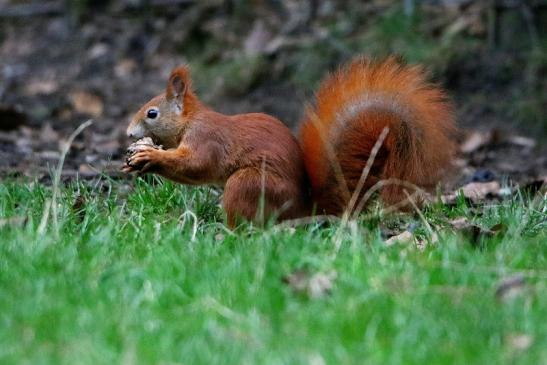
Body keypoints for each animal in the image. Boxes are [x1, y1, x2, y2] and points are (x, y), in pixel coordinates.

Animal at [125, 57, 458, 226]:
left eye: (152, 113)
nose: (128, 133)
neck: (190, 121)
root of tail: (304, 210)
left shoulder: (207, 139)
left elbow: (196, 165)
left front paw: (151, 157)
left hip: (249, 184)